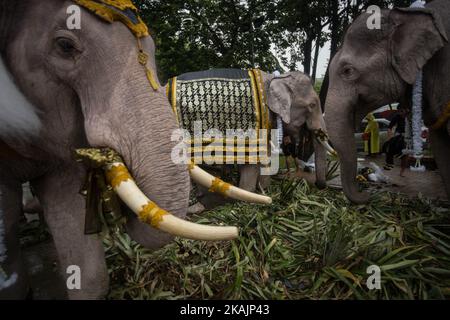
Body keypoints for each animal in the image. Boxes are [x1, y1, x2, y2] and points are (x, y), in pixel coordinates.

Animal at [165, 69, 334, 211]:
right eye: (312, 105)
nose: (319, 186)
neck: (277, 78)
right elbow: (256, 158)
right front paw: (251, 198)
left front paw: (264, 191)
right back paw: (195, 208)